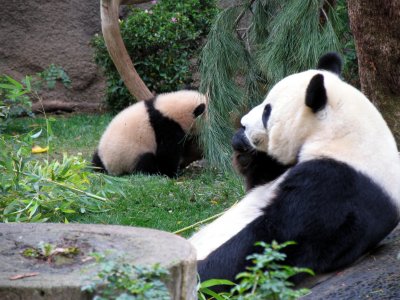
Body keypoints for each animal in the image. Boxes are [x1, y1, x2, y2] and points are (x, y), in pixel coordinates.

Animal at [189, 53, 400, 286]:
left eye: (267, 111)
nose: (243, 124)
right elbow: (258, 180)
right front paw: (242, 145)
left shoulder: (337, 184)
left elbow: (275, 239)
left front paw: (200, 273)